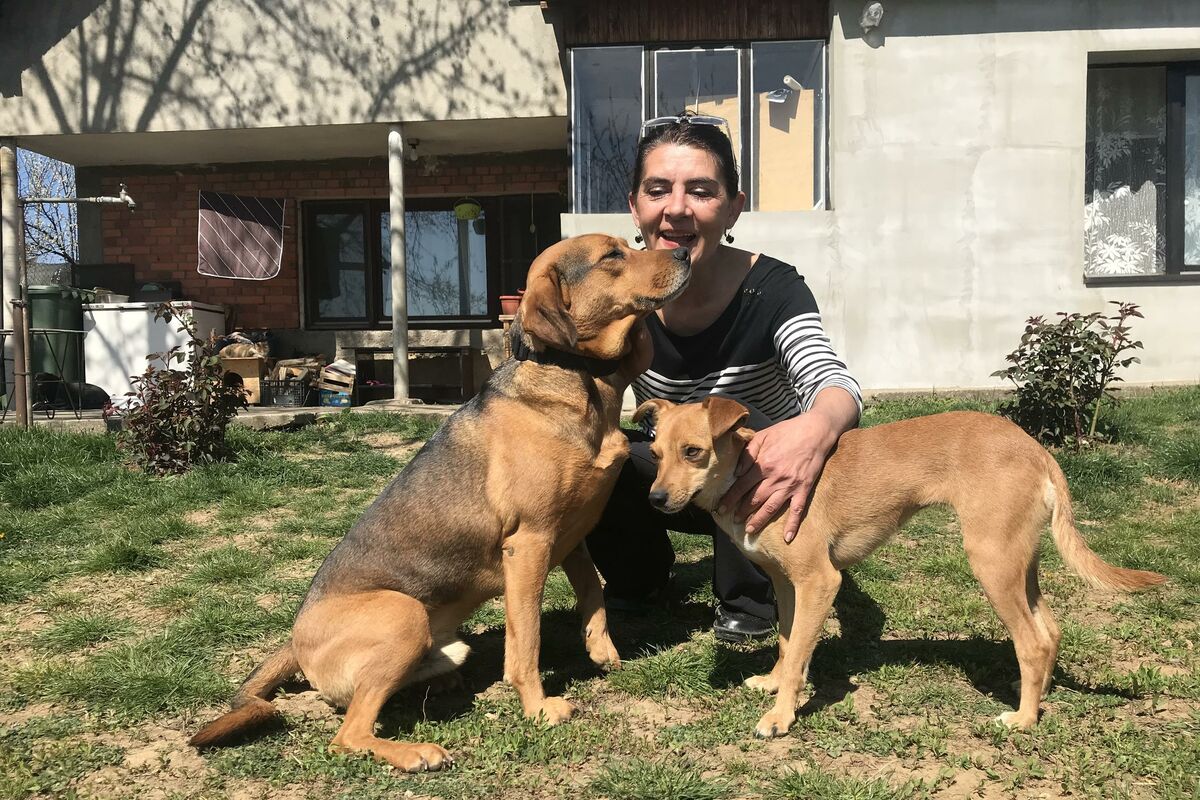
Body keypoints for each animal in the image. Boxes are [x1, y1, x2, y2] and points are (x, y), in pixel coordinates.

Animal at [189, 235, 691, 770]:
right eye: (612, 256)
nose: (685, 253)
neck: (576, 380)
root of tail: (294, 639)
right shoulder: (529, 545)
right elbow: (526, 640)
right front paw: (538, 707)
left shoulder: (572, 537)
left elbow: (593, 594)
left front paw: (602, 653)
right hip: (402, 616)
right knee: (346, 736)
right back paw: (415, 752)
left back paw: (443, 676)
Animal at [635, 397, 1166, 737]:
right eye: (655, 453)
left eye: (693, 452)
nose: (654, 500)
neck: (748, 471)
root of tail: (1036, 449)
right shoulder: (788, 586)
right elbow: (788, 644)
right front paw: (773, 681)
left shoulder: (819, 582)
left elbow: (799, 655)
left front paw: (781, 717)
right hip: (1020, 562)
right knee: (1050, 631)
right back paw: (1033, 693)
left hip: (991, 563)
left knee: (1032, 641)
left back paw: (1023, 719)